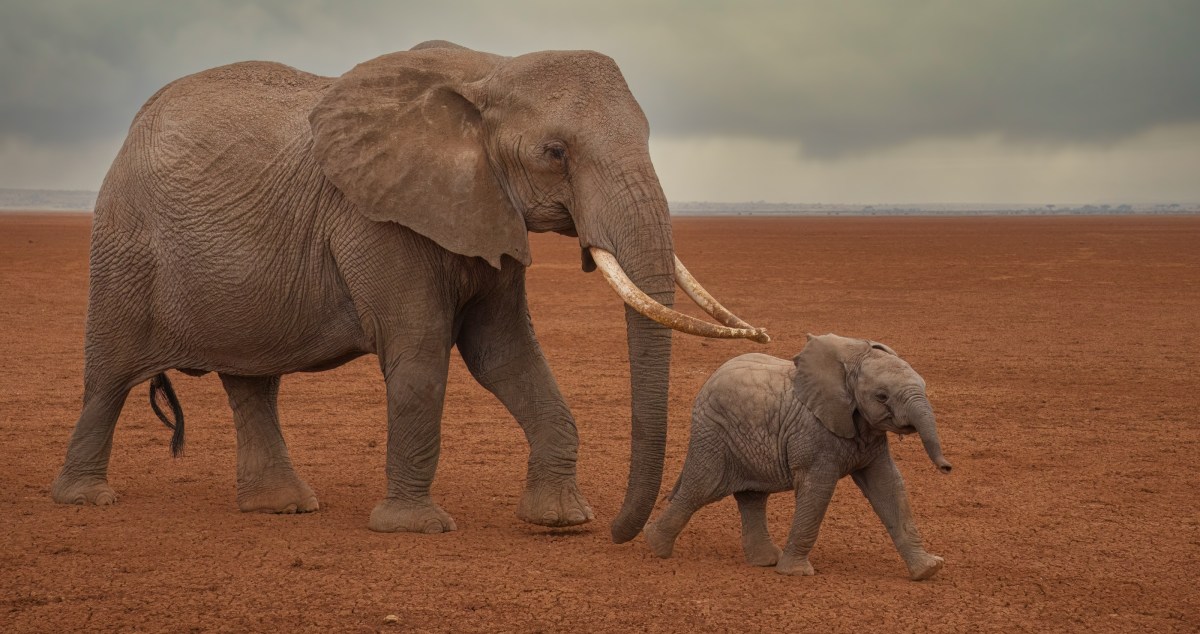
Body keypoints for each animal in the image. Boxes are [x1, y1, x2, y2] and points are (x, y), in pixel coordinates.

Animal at [49, 40, 769, 542]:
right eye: (556, 152)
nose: (624, 535)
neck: (488, 72)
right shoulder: (377, 217)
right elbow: (422, 355)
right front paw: (415, 528)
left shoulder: (485, 209)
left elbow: (504, 354)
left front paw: (562, 522)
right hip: (124, 244)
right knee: (109, 377)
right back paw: (84, 500)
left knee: (253, 381)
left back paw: (282, 507)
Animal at [643, 334, 952, 579]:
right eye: (882, 396)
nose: (947, 467)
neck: (850, 362)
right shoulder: (813, 434)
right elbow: (817, 490)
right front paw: (797, 573)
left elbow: (889, 486)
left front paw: (928, 570)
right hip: (713, 433)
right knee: (700, 489)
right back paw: (655, 548)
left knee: (752, 497)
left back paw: (765, 561)